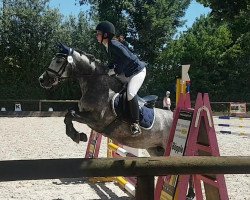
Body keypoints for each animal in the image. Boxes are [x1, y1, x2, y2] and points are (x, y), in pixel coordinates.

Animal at [38, 47, 174, 155]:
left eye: (58, 61)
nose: (41, 80)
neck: (95, 83)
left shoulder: (97, 120)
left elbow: (70, 115)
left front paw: (77, 135)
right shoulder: (84, 112)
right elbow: (68, 115)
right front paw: (77, 136)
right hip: (155, 149)